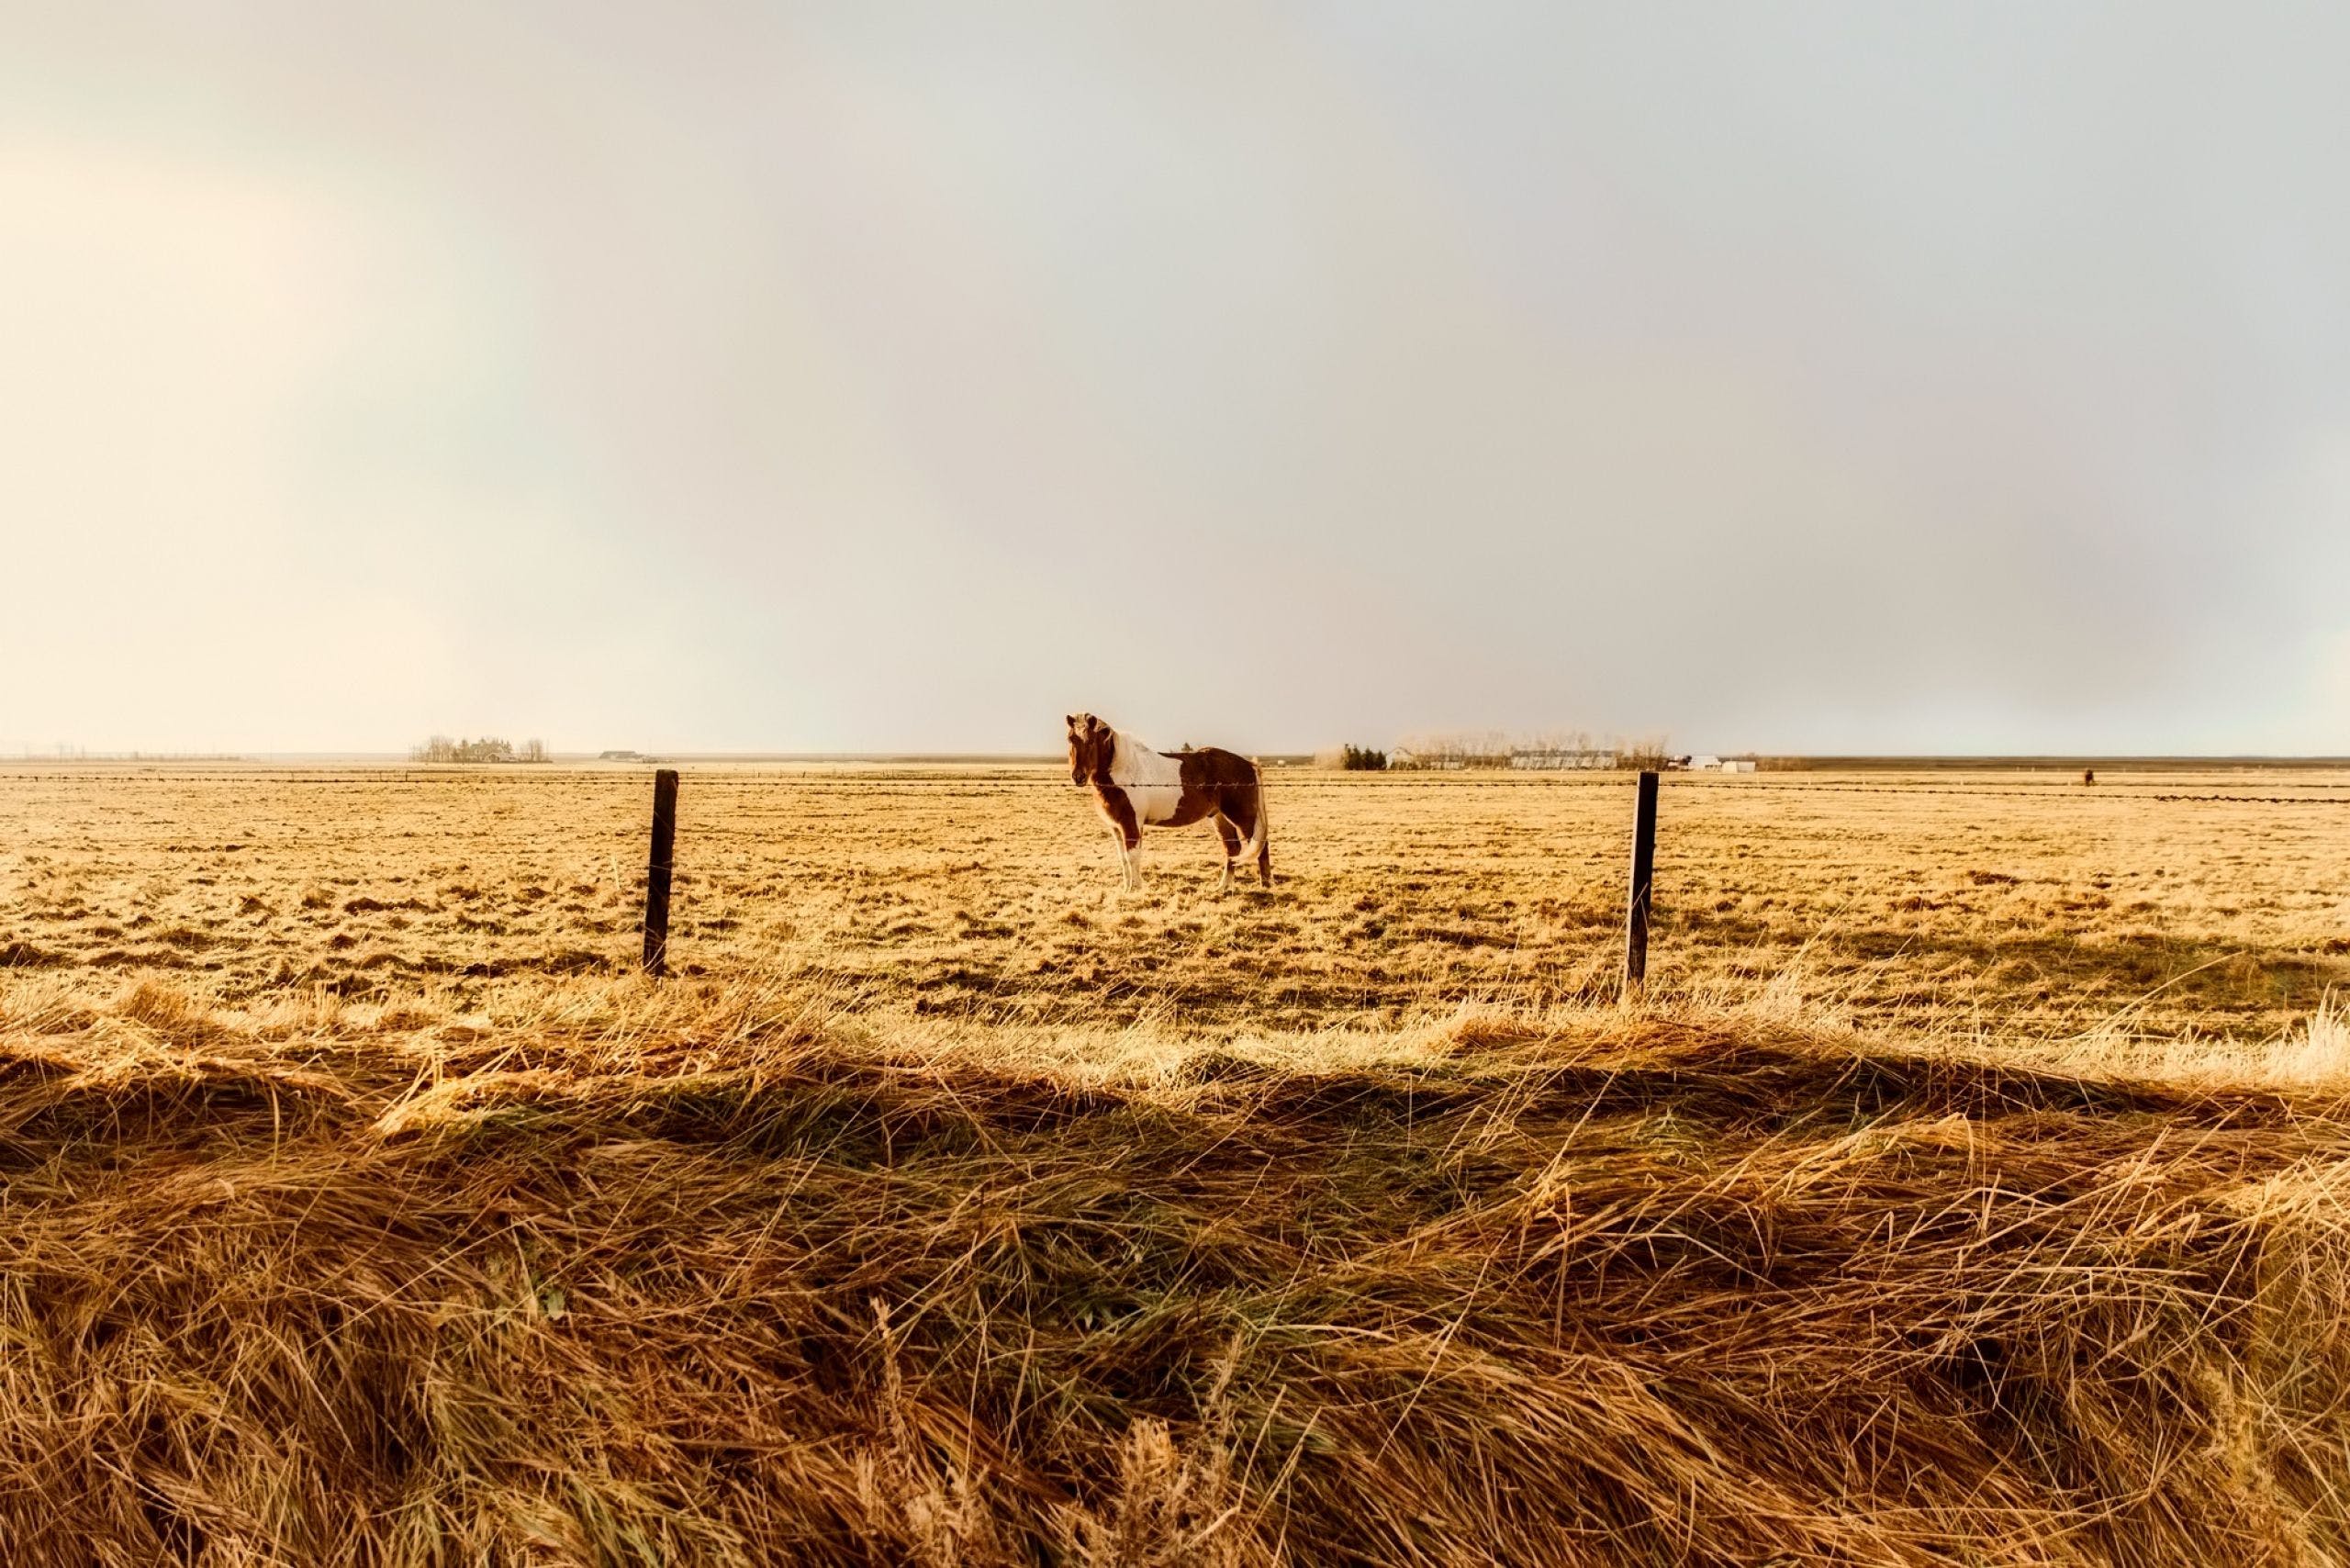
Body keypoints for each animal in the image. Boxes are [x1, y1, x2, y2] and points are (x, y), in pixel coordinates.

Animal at [1065, 713, 1270, 893]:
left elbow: (1132, 856)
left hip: (1242, 817)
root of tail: (1249, 765)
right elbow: (1123, 859)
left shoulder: (1131, 823)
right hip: (1219, 817)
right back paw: (1223, 887)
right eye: (1070, 739)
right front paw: (1126, 889)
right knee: (1232, 849)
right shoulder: (1116, 827)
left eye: (1091, 741)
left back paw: (1266, 886)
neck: (1122, 769)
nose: (1078, 776)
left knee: (1260, 845)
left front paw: (1135, 889)